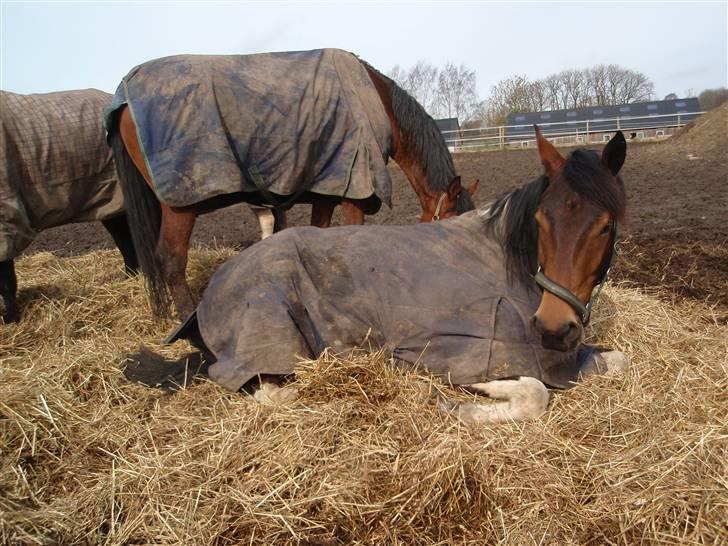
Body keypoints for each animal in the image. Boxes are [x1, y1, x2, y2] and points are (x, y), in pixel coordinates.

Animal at [0, 87, 138, 320]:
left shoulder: (6, 219)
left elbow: (6, 281)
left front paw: (12, 319)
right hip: (110, 202)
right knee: (124, 239)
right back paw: (131, 276)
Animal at [125, 130, 632, 422]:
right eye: (542, 221)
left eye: (607, 226)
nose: (553, 329)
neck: (508, 256)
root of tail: (209, 293)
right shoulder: (463, 347)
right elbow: (532, 393)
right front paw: (460, 398)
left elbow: (617, 362)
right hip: (272, 334)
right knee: (271, 392)